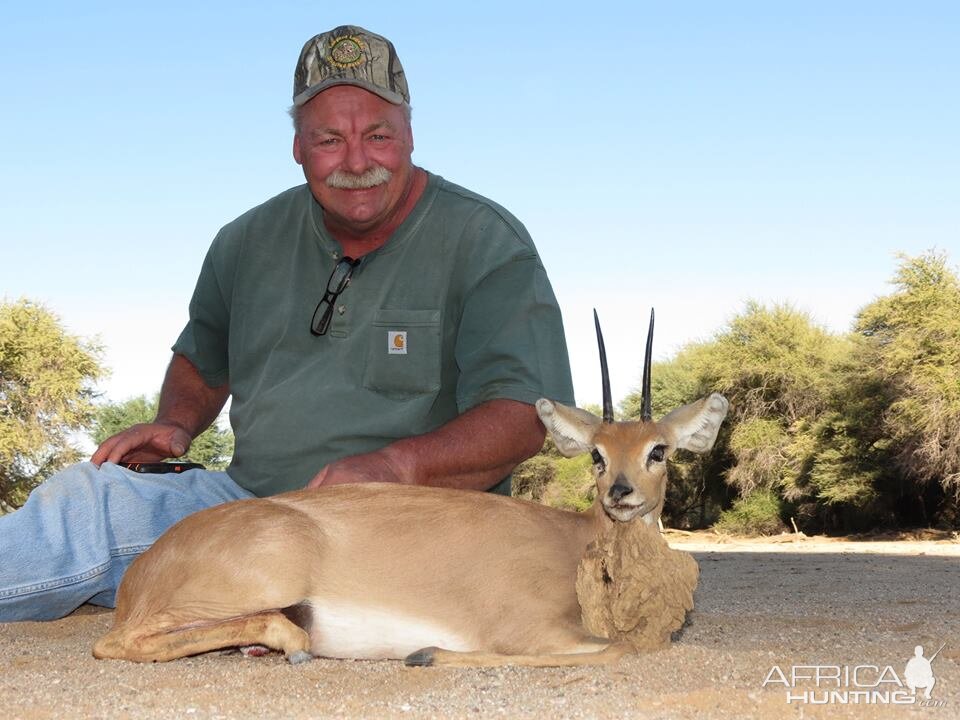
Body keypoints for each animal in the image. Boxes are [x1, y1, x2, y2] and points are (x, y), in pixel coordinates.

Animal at [95, 310, 728, 668]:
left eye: (658, 450)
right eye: (597, 453)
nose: (621, 493)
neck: (579, 547)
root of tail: (141, 570)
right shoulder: (532, 630)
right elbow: (620, 648)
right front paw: (426, 654)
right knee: (114, 643)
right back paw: (294, 643)